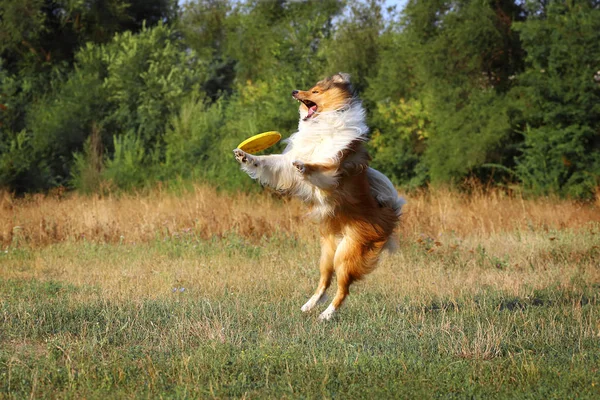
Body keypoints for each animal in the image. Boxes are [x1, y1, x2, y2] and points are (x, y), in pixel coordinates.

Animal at [233, 72, 404, 322]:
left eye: (315, 91)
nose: (294, 91)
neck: (322, 124)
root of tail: (389, 212)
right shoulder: (284, 164)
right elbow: (268, 161)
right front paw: (245, 156)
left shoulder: (336, 167)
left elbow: (320, 167)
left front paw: (304, 166)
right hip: (327, 254)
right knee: (324, 282)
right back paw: (308, 306)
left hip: (347, 255)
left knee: (343, 289)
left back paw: (326, 315)